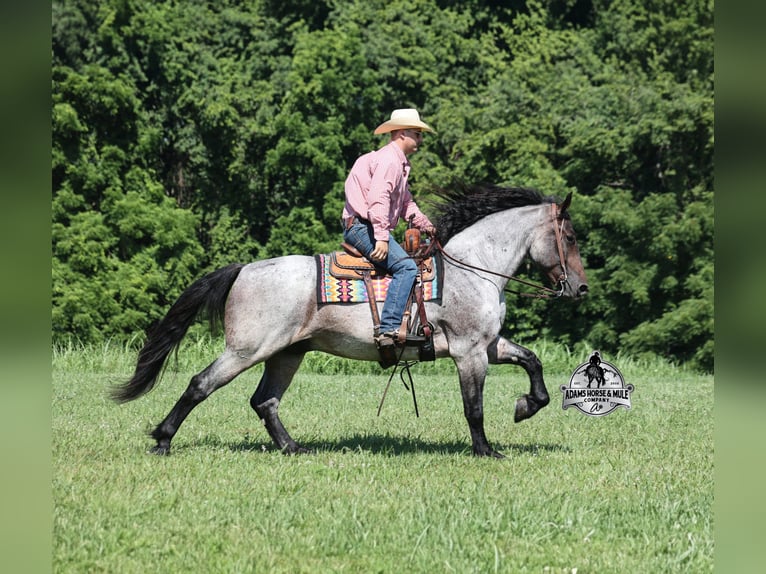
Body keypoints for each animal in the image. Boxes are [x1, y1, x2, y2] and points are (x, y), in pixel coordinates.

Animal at [112, 183, 588, 458]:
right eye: (569, 236)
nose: (581, 289)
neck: (475, 269)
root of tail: (245, 269)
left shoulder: (489, 344)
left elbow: (532, 361)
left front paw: (526, 406)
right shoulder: (470, 351)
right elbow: (474, 407)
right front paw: (487, 451)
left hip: (286, 354)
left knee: (264, 402)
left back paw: (293, 448)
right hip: (247, 349)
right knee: (201, 385)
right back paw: (163, 440)